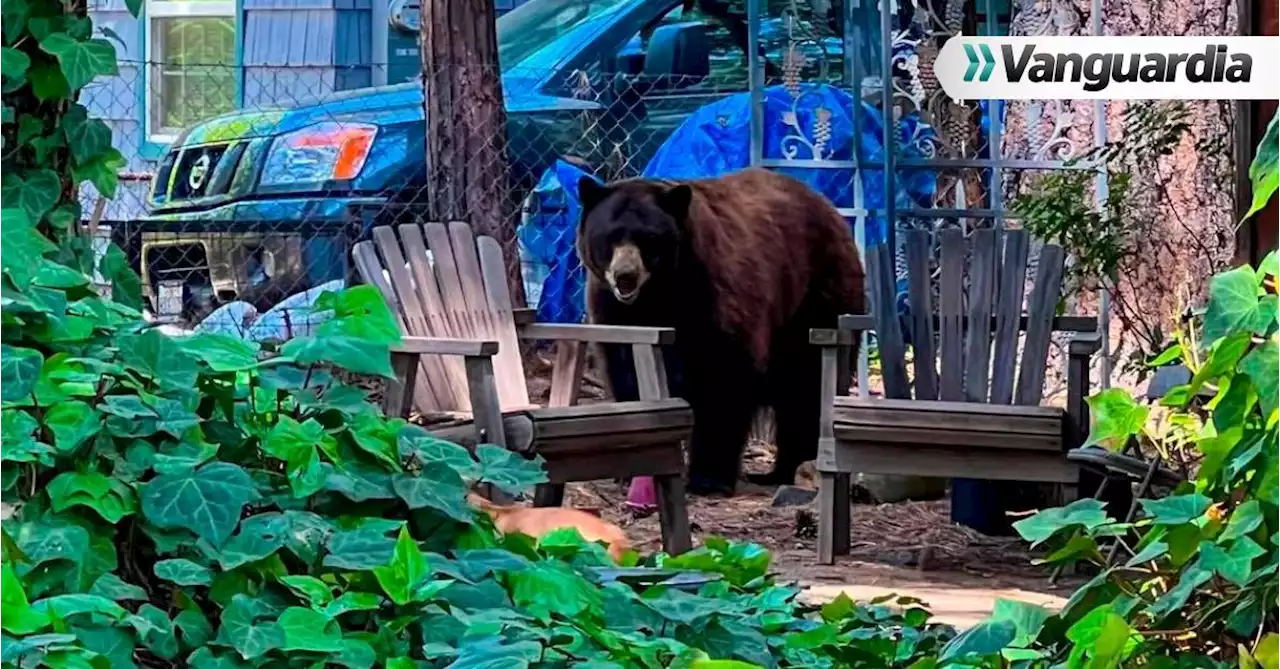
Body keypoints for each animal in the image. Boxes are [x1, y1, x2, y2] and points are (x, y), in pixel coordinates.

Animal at [581, 165, 870, 493]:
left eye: (649, 238)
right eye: (610, 236)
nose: (625, 276)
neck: (659, 295)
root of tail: (832, 212)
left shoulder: (713, 293)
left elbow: (723, 377)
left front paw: (709, 477)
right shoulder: (614, 310)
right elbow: (626, 372)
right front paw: (632, 469)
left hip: (815, 301)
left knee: (805, 387)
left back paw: (790, 466)